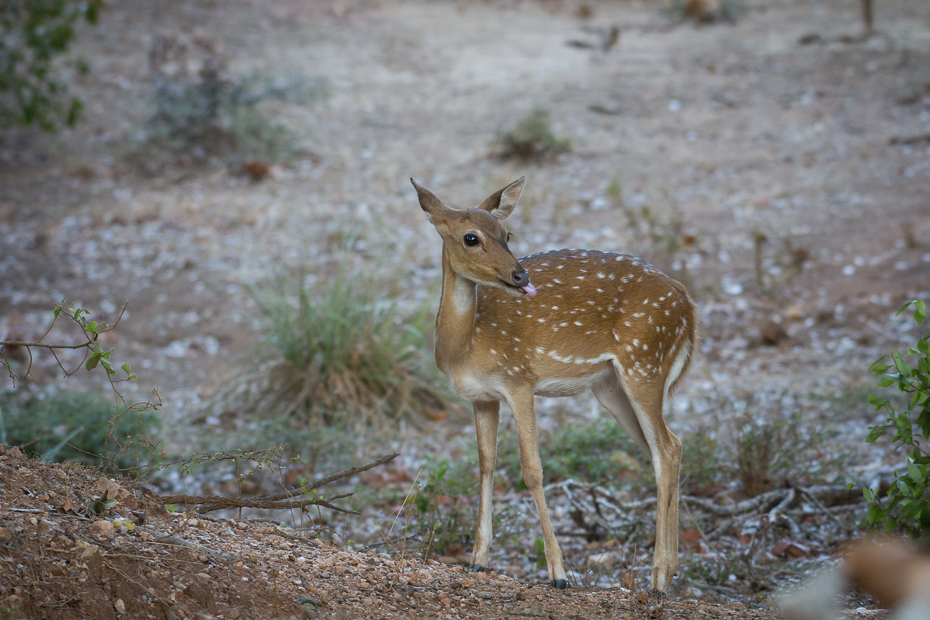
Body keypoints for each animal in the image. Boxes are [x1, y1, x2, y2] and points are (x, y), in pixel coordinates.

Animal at [414, 174, 696, 592]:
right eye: (471, 237)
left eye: (507, 234)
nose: (520, 275)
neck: (466, 345)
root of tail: (690, 309)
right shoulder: (482, 397)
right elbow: (485, 463)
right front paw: (477, 560)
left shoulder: (519, 379)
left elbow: (532, 470)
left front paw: (559, 573)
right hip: (611, 386)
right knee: (667, 448)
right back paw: (668, 572)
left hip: (645, 364)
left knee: (665, 447)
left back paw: (658, 576)